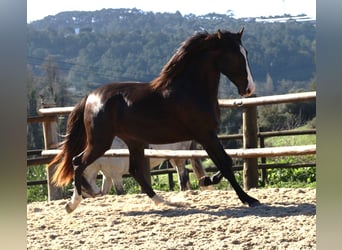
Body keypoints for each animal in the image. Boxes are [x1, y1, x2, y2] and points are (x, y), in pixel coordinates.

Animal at [49, 28, 260, 212]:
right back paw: (72, 204)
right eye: (235, 55)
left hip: (133, 142)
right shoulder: (205, 134)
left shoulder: (205, 136)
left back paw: (162, 201)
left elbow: (226, 161)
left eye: (246, 53)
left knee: (135, 170)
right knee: (78, 162)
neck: (191, 90)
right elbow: (225, 163)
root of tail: (90, 97)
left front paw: (208, 181)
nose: (249, 88)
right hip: (100, 142)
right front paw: (248, 199)